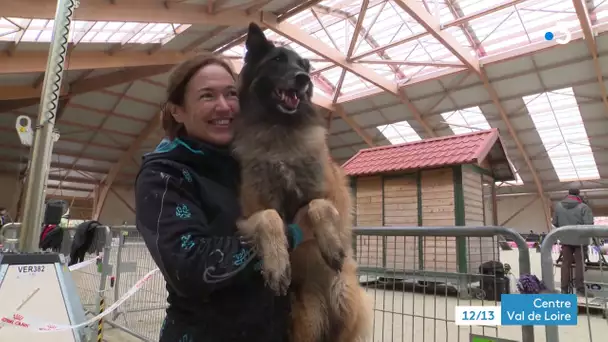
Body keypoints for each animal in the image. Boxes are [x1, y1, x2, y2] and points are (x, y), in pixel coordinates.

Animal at [233, 23, 372, 342]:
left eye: (304, 66)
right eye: (277, 60)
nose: (303, 79)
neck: (280, 129)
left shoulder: (334, 199)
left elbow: (317, 205)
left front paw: (331, 245)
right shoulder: (251, 213)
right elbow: (270, 217)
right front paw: (277, 265)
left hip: (344, 296)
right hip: (305, 316)